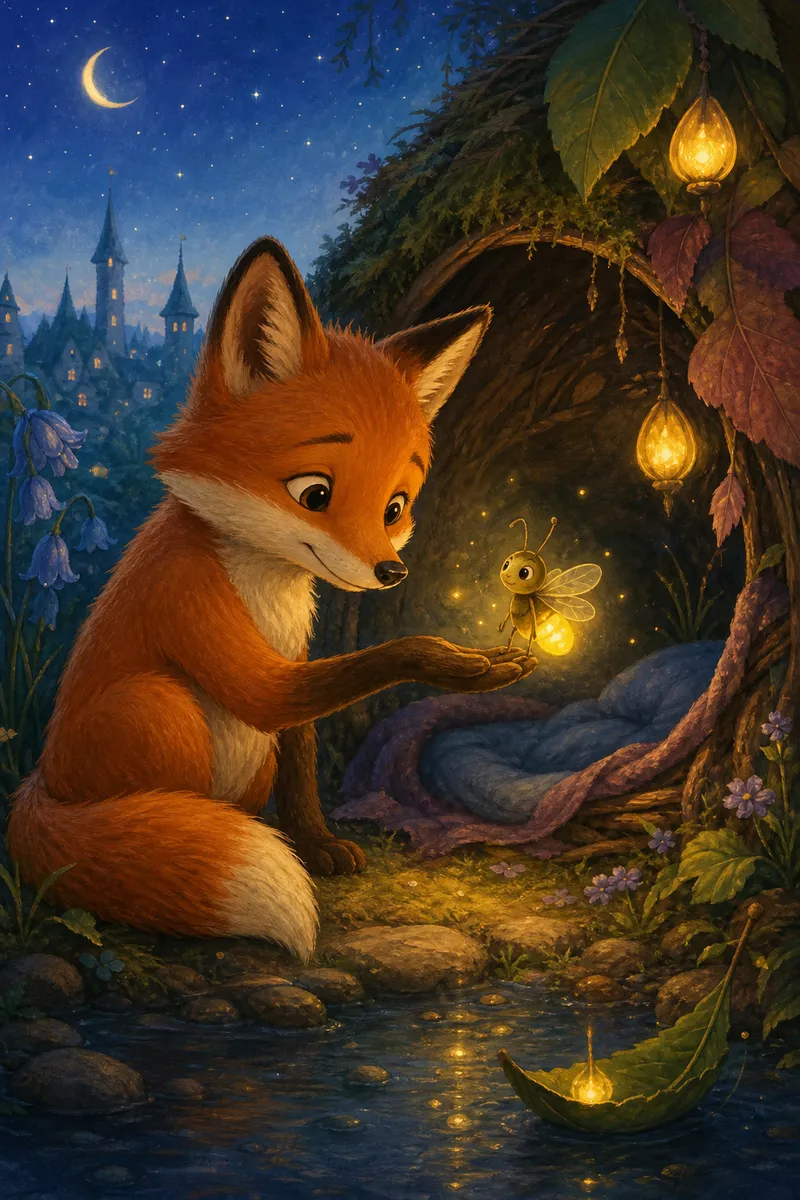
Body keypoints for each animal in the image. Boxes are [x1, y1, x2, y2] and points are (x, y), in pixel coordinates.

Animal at [7, 236, 536, 960]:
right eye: (315, 494)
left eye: (395, 507)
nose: (391, 572)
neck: (267, 584)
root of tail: (40, 784)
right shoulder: (190, 600)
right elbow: (299, 683)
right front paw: (464, 664)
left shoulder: (297, 660)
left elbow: (304, 762)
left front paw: (317, 846)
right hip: (155, 707)